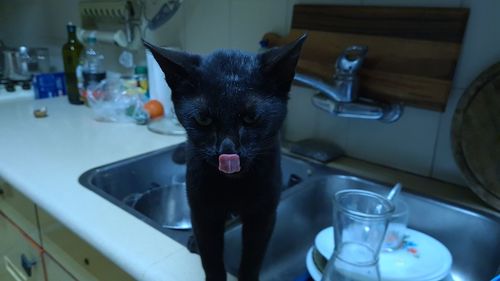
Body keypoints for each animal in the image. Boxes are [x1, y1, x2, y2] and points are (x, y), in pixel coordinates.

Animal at [143, 35, 306, 280]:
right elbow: (211, 257)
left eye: (251, 117)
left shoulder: (263, 216)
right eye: (203, 119)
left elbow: (253, 257)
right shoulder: (203, 213)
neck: (233, 187)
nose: (227, 151)